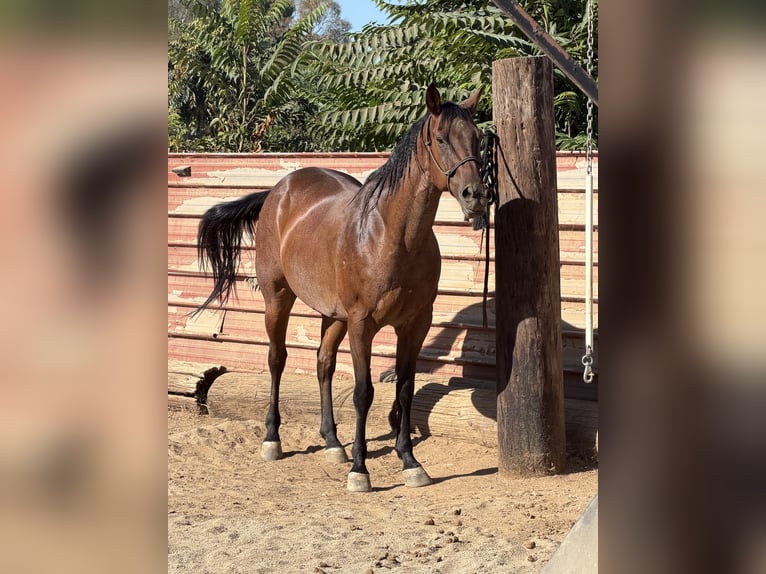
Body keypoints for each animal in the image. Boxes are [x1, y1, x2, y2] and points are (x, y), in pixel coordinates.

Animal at [196, 84, 487, 492]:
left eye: (477, 138)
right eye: (441, 138)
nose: (475, 195)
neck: (390, 236)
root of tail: (279, 190)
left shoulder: (414, 325)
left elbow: (405, 388)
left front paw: (410, 462)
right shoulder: (362, 324)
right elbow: (364, 393)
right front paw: (361, 471)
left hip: (332, 315)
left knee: (323, 364)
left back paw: (333, 442)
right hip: (278, 299)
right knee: (277, 359)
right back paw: (273, 439)